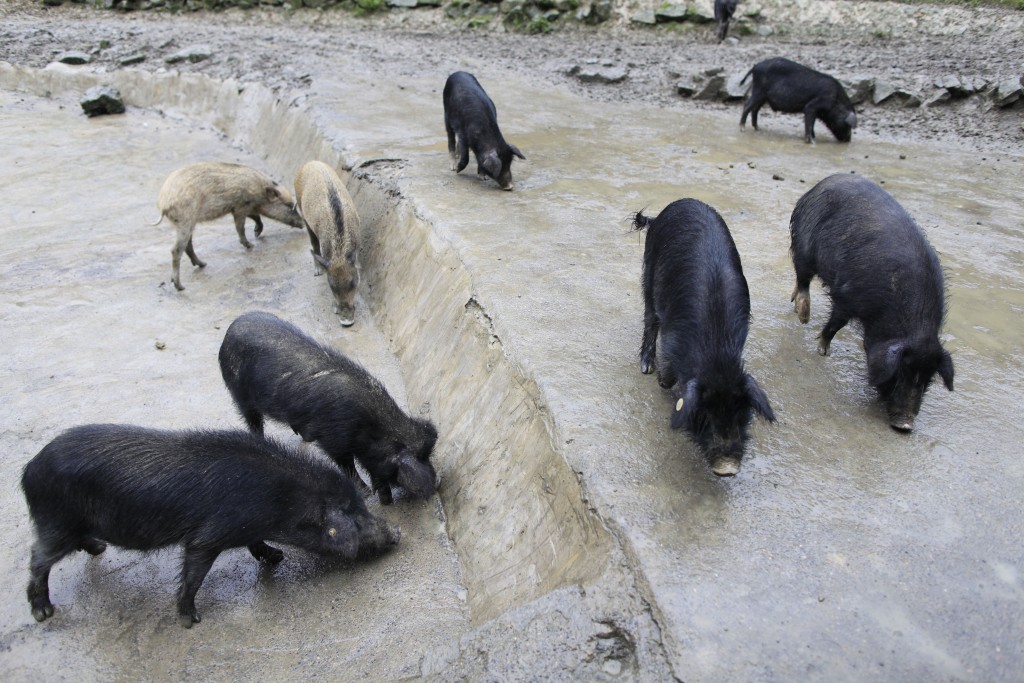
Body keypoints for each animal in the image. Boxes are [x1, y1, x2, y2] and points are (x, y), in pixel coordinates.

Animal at [23, 423, 399, 626]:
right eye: (353, 516)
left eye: (361, 507)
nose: (397, 533)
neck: (281, 499)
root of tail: (29, 470)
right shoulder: (209, 535)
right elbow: (194, 573)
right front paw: (191, 620)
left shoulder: (249, 528)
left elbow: (256, 544)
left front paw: (276, 557)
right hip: (55, 521)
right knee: (38, 558)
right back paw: (43, 612)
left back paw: (99, 549)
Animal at [220, 313, 436, 505]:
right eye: (397, 458)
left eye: (427, 455)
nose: (435, 484)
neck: (368, 425)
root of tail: (231, 328)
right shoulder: (334, 440)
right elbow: (346, 464)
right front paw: (366, 493)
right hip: (238, 391)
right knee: (252, 419)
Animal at [630, 198, 774, 475]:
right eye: (706, 415)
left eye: (742, 414)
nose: (727, 468)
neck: (716, 352)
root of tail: (679, 203)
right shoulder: (672, 337)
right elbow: (668, 374)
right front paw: (660, 381)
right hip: (649, 269)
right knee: (649, 315)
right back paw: (645, 367)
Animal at [786, 175, 954, 432]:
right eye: (901, 372)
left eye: (927, 379)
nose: (905, 424)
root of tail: (822, 183)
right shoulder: (847, 295)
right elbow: (835, 324)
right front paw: (823, 352)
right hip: (804, 243)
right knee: (803, 276)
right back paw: (803, 316)